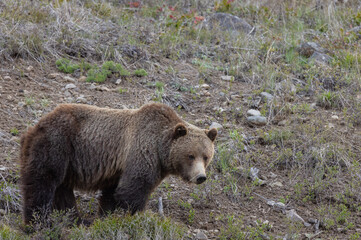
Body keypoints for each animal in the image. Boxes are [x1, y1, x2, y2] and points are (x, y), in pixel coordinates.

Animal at [20, 102, 217, 224]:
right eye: (190, 155)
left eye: (206, 156)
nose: (200, 177)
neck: (160, 151)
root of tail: (36, 125)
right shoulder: (141, 153)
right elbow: (132, 190)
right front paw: (134, 217)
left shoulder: (118, 168)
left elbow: (111, 193)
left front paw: (106, 216)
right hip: (57, 143)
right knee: (43, 181)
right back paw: (39, 222)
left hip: (66, 161)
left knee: (62, 189)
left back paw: (75, 219)